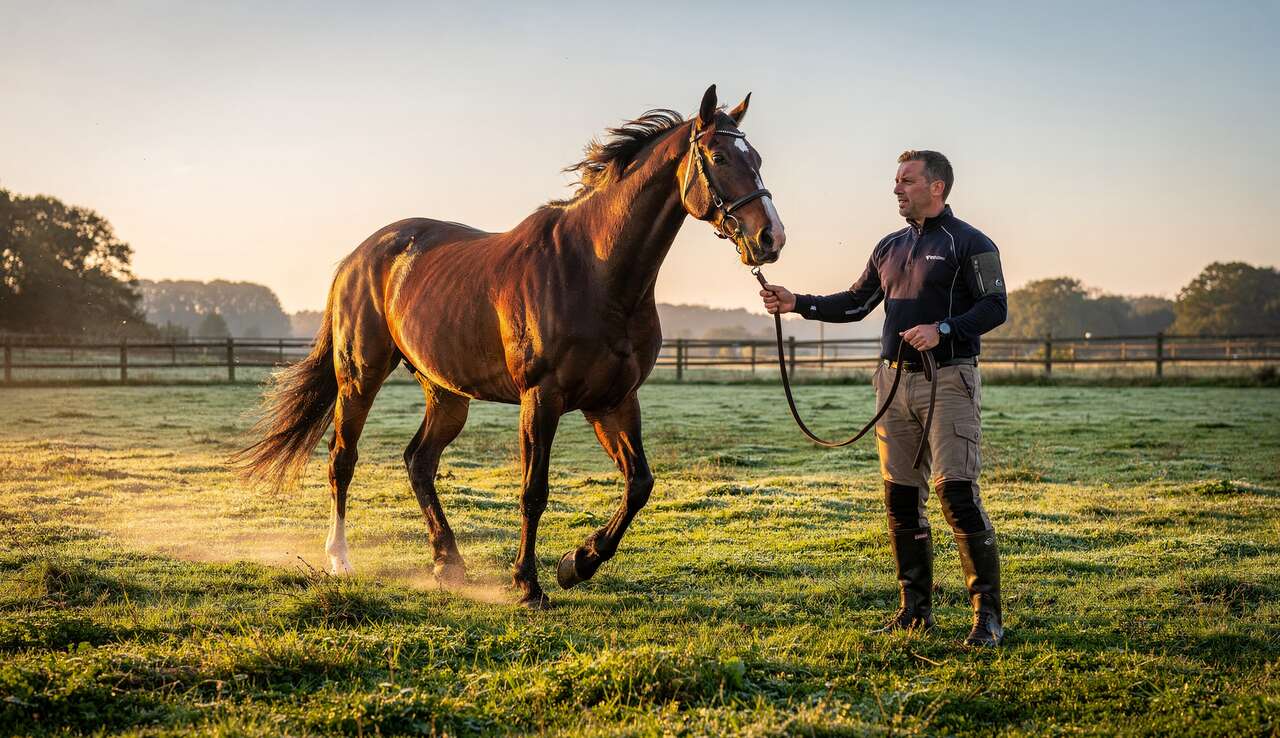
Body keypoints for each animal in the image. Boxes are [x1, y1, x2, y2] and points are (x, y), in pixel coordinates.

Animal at [232, 85, 786, 607]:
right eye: (719, 157)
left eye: (757, 158)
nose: (770, 238)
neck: (595, 271)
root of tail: (359, 256)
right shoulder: (541, 399)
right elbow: (533, 492)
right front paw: (528, 584)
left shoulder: (614, 401)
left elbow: (639, 484)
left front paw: (578, 562)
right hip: (359, 378)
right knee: (341, 460)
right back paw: (340, 559)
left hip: (446, 394)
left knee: (418, 461)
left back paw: (448, 563)